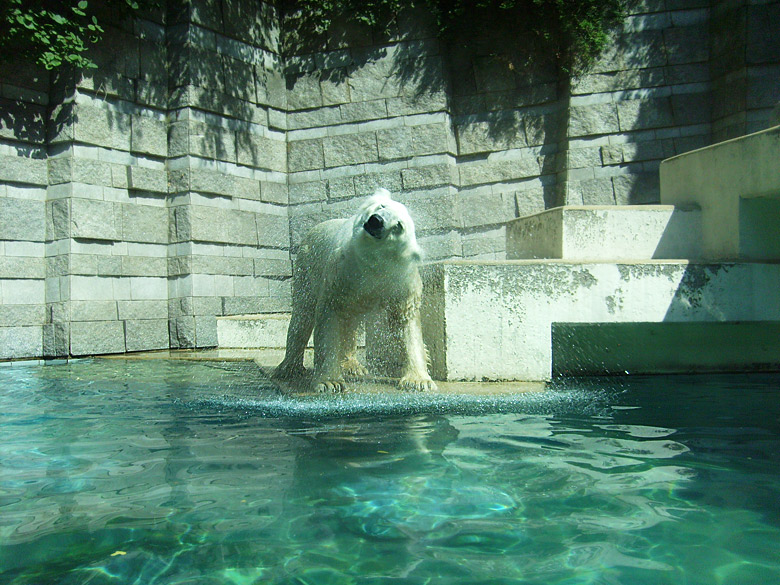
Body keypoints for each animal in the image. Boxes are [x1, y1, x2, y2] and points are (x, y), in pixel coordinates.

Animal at [274, 188, 436, 392]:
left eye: (399, 226)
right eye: (382, 206)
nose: (377, 220)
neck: (373, 268)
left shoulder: (400, 281)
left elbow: (406, 322)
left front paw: (419, 380)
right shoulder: (341, 273)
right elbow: (329, 316)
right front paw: (330, 382)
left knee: (348, 321)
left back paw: (352, 365)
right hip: (307, 267)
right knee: (303, 315)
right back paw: (288, 367)